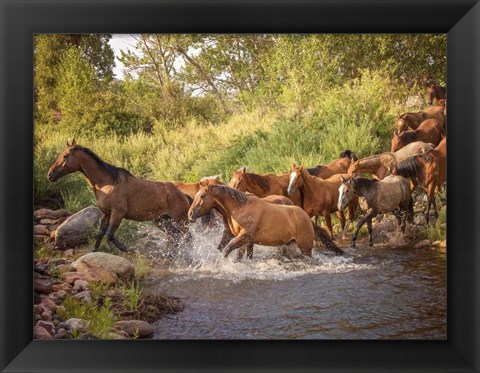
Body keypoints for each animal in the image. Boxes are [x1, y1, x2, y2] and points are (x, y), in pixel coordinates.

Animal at [47, 140, 191, 253]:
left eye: (65, 156)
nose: (50, 174)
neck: (107, 183)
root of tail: (182, 194)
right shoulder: (106, 213)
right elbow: (100, 234)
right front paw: (94, 251)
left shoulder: (118, 213)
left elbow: (109, 235)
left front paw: (126, 249)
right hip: (162, 220)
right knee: (176, 237)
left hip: (180, 220)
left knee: (187, 238)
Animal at [188, 183, 342, 258]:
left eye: (202, 196)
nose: (190, 214)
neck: (239, 208)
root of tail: (307, 218)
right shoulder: (245, 240)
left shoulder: (244, 237)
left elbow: (227, 250)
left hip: (305, 248)